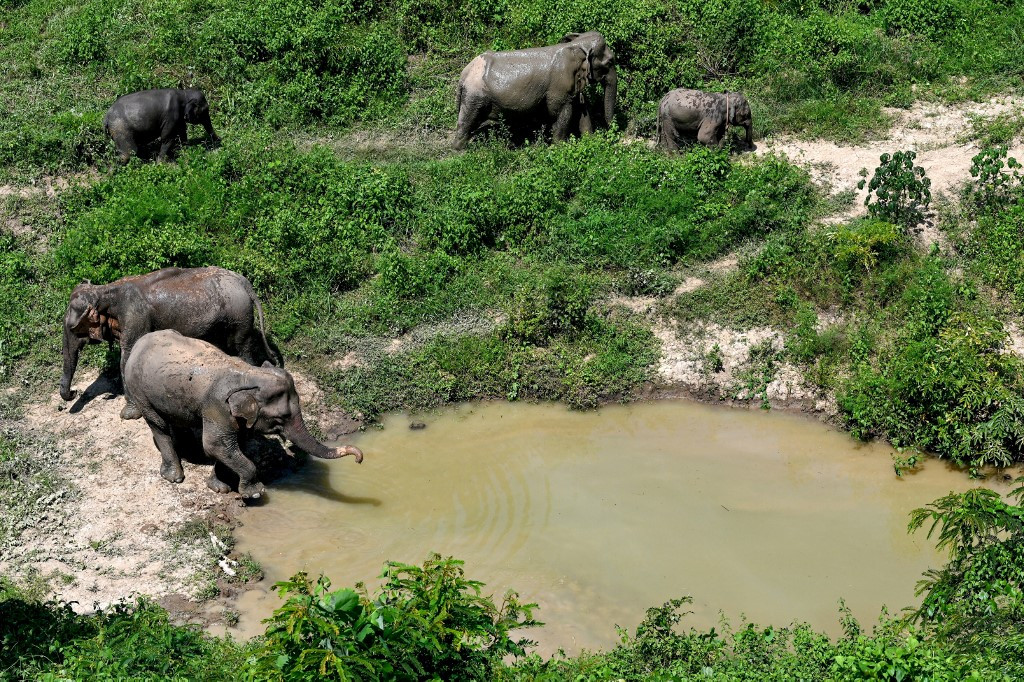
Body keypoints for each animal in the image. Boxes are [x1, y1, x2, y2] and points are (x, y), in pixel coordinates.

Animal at [59, 266, 276, 419]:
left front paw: (128, 414)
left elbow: (127, 357)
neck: (104, 291)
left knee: (242, 349)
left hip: (239, 316)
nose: (73, 392)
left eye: (73, 328)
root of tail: (244, 282)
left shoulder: (136, 318)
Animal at [124, 327, 364, 497]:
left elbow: (229, 446)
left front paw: (218, 487)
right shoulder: (217, 408)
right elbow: (216, 445)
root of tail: (140, 342)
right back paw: (173, 477)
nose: (359, 459)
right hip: (139, 391)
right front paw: (255, 493)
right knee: (158, 426)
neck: (249, 373)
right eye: (281, 418)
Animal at [450, 30, 614, 148]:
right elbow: (562, 113)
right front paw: (558, 148)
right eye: (610, 61)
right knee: (467, 121)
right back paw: (461, 152)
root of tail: (464, 73)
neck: (577, 45)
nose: (610, 130)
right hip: (473, 96)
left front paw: (590, 141)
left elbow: (581, 107)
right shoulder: (559, 86)